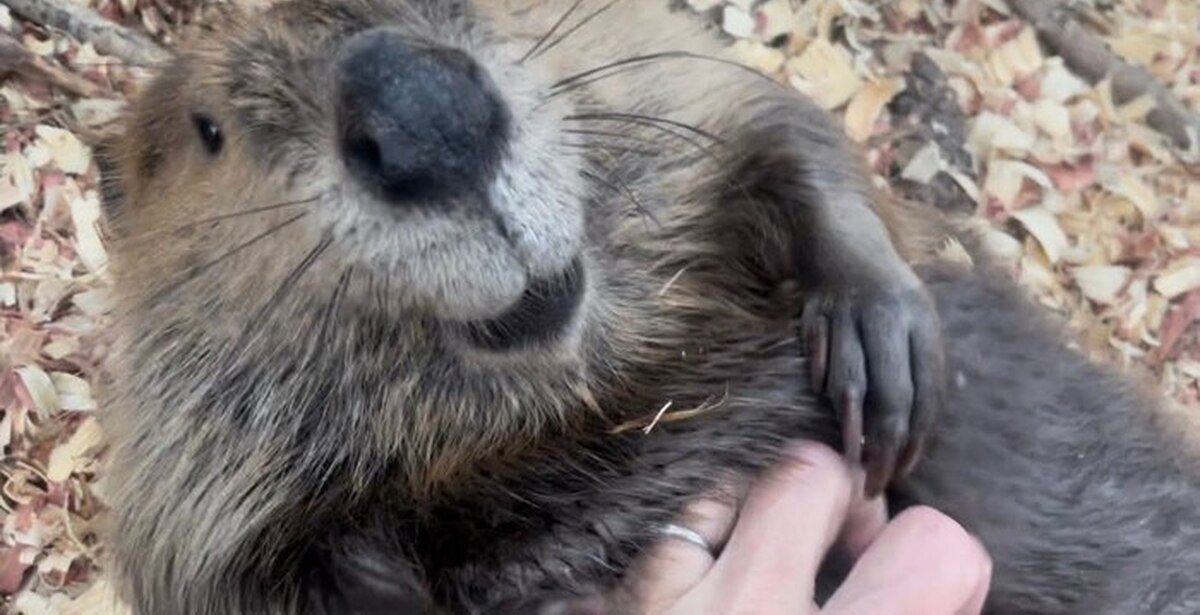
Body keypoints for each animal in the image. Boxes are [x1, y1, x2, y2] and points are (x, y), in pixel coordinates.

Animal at [98, 1, 1200, 615]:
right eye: (207, 129)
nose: (425, 120)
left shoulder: (655, 68)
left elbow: (775, 124)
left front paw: (881, 341)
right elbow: (240, 567)